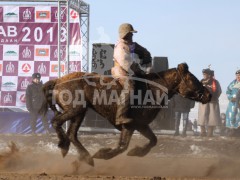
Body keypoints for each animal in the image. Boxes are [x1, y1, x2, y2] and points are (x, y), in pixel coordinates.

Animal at [39, 63, 212, 166]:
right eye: (193, 79)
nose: (208, 95)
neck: (151, 89)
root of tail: (58, 81)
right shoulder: (129, 125)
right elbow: (122, 146)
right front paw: (103, 154)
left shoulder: (141, 125)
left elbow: (153, 140)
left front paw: (137, 152)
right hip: (75, 110)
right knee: (57, 122)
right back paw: (64, 146)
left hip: (79, 112)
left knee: (72, 133)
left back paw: (86, 158)